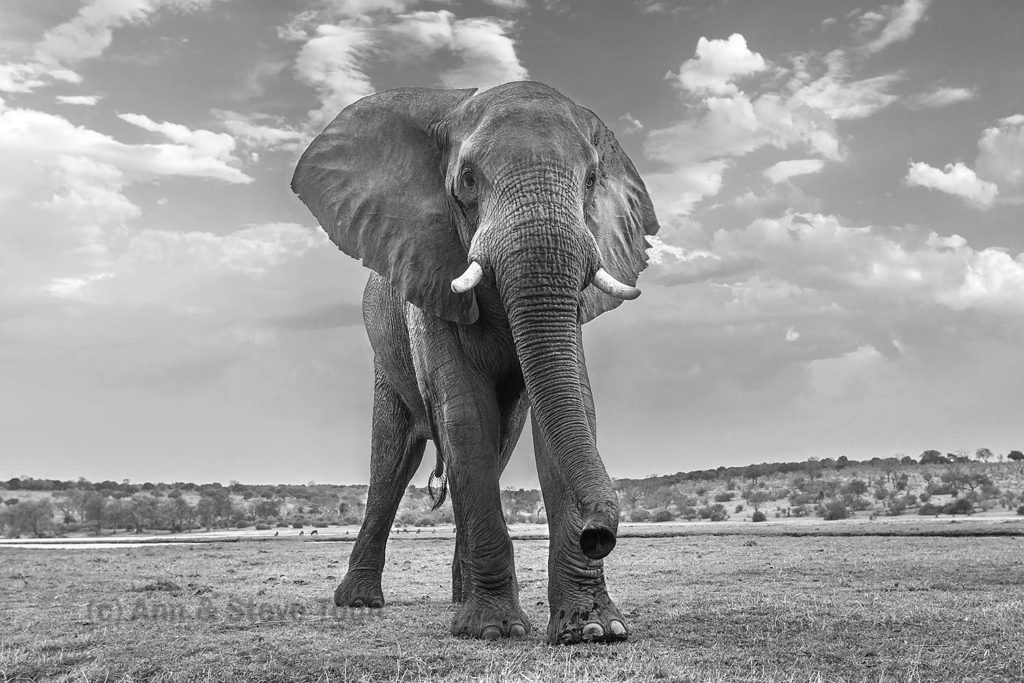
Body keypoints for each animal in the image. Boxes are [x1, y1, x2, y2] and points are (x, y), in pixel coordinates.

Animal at [291, 81, 659, 644]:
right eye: (467, 180)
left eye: (593, 179)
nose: (597, 534)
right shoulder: (429, 278)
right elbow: (464, 413)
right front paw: (493, 631)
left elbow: (569, 409)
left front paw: (595, 630)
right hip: (386, 356)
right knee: (392, 460)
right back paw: (360, 602)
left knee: (497, 445)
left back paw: (459, 598)